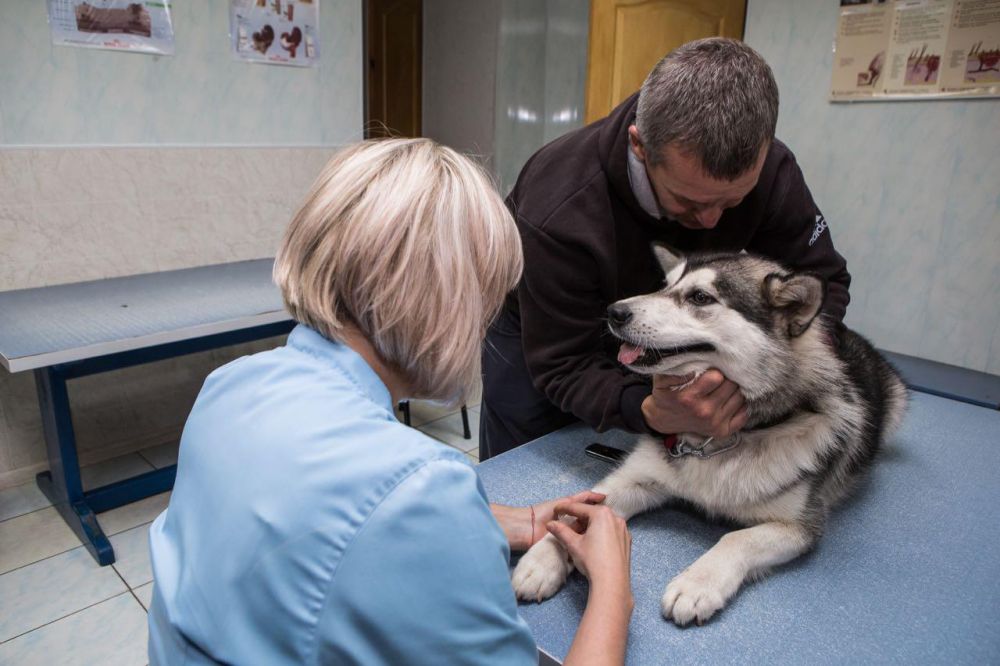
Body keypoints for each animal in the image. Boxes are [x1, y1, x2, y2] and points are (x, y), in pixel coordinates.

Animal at [512, 246, 912, 624]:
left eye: (701, 297)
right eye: (664, 285)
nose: (614, 312)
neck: (715, 441)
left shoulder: (799, 527)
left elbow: (736, 538)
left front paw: (697, 584)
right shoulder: (635, 479)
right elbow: (575, 512)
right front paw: (544, 558)